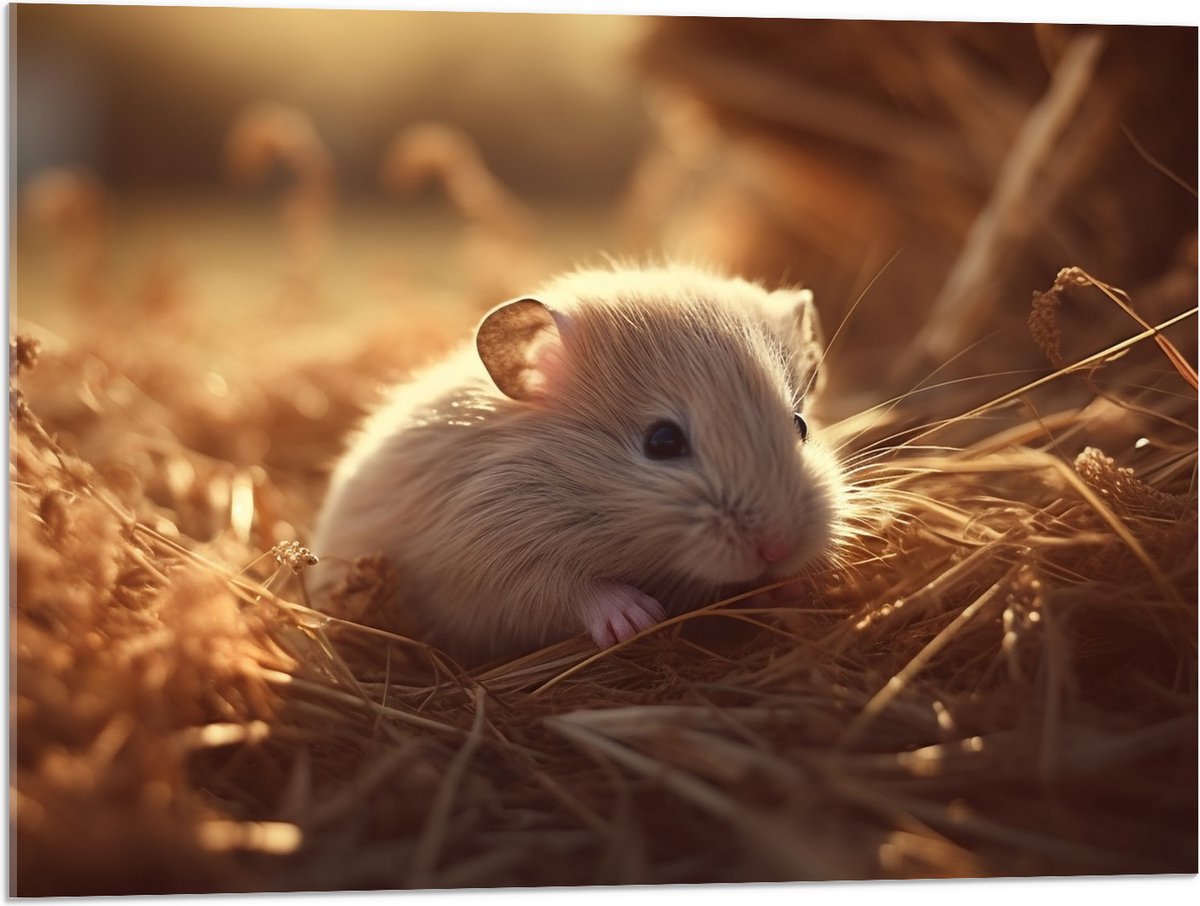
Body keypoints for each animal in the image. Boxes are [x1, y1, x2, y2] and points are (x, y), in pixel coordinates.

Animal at [309, 264, 847, 664]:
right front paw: (638, 619)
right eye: (662, 441)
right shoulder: (488, 565)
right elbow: (568, 589)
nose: (779, 547)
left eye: (801, 425)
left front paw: (796, 590)